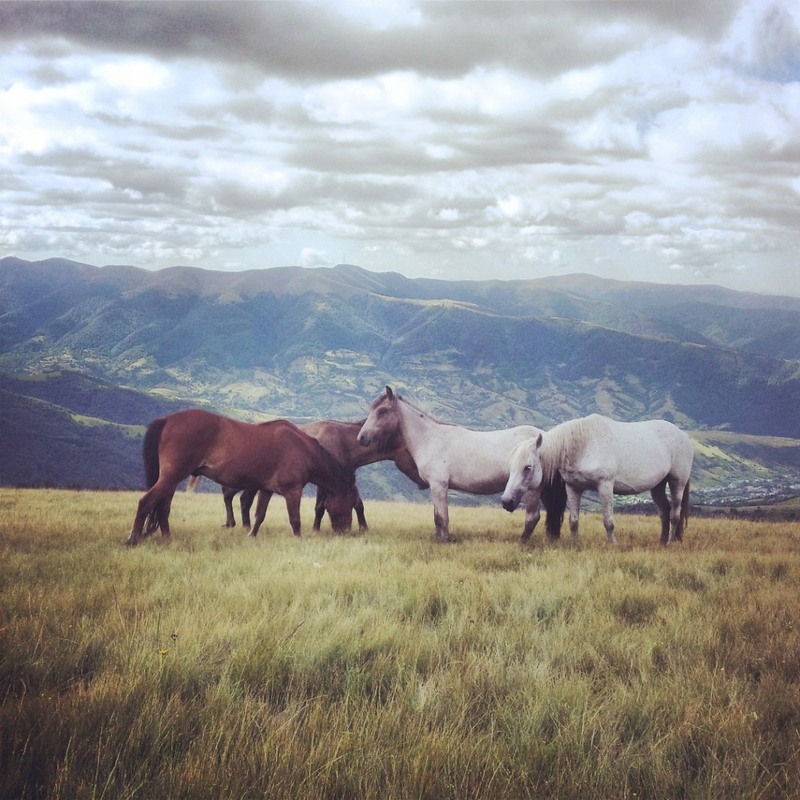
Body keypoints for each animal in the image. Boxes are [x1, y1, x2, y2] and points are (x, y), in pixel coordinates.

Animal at [129, 410, 356, 548]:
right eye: (349, 505)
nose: (345, 532)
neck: (302, 449)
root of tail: (168, 419)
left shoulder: (266, 489)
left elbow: (259, 515)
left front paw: (251, 535)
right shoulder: (292, 491)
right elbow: (295, 519)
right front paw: (298, 540)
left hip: (171, 479)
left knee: (163, 507)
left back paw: (167, 538)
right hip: (171, 476)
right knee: (146, 502)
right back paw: (133, 539)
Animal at [212, 416, 424, 536]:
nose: (425, 482)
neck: (343, 442)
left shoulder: (345, 479)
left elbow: (358, 504)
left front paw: (364, 528)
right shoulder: (326, 483)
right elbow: (320, 507)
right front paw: (316, 529)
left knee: (241, 499)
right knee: (232, 496)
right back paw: (237, 524)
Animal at [356, 386, 564, 544]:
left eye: (382, 411)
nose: (361, 438)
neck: (430, 439)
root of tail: (546, 438)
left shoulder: (439, 486)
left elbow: (442, 517)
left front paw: (443, 542)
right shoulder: (436, 487)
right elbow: (437, 517)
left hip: (532, 489)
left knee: (532, 517)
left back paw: (522, 543)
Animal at [500, 416, 692, 548]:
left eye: (527, 467)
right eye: (511, 466)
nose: (506, 501)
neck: (583, 445)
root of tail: (683, 435)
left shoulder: (605, 486)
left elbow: (608, 521)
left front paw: (613, 545)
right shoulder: (573, 488)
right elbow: (573, 520)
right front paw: (575, 544)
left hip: (677, 482)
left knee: (674, 514)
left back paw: (671, 543)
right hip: (658, 486)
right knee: (665, 511)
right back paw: (661, 542)